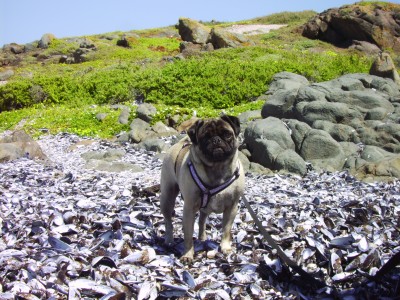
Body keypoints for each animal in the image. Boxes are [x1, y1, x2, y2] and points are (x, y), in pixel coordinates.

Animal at [159, 116, 244, 262]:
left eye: (227, 134)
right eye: (205, 137)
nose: (216, 140)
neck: (217, 168)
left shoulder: (232, 208)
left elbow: (226, 230)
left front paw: (225, 247)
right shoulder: (188, 209)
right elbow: (188, 235)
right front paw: (188, 254)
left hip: (205, 208)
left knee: (202, 219)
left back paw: (202, 238)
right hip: (167, 197)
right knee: (168, 221)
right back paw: (169, 240)